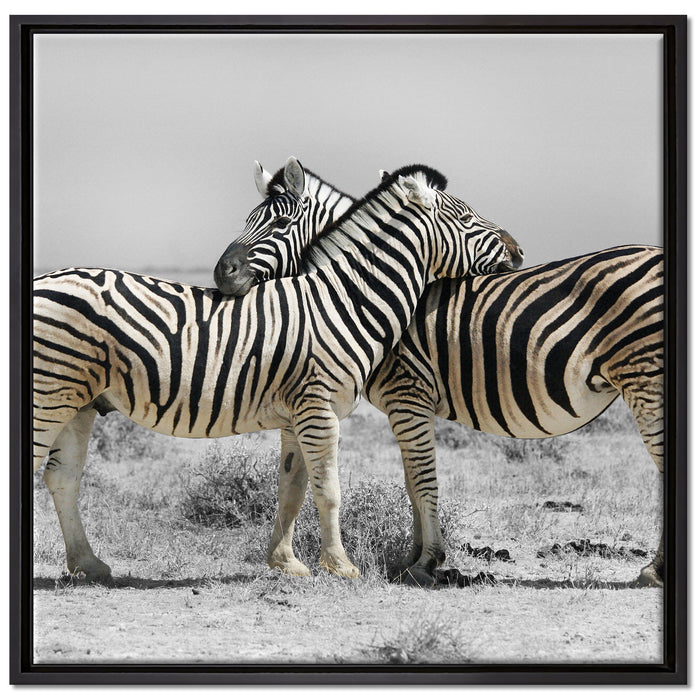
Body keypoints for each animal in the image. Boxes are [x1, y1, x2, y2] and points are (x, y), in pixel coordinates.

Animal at [33, 159, 514, 583]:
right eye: (467, 217)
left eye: (280, 223)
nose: (516, 248)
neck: (342, 301)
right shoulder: (319, 410)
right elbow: (329, 491)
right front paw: (341, 566)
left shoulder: (297, 414)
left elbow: (292, 489)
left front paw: (286, 563)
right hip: (48, 395)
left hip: (79, 403)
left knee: (62, 477)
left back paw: (89, 565)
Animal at [214, 164, 664, 589]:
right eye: (249, 219)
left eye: (279, 223)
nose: (222, 274)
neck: (358, 292)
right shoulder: (407, 406)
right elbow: (412, 483)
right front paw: (413, 559)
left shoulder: (407, 395)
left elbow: (423, 480)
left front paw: (427, 562)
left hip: (645, 379)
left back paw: (654, 570)